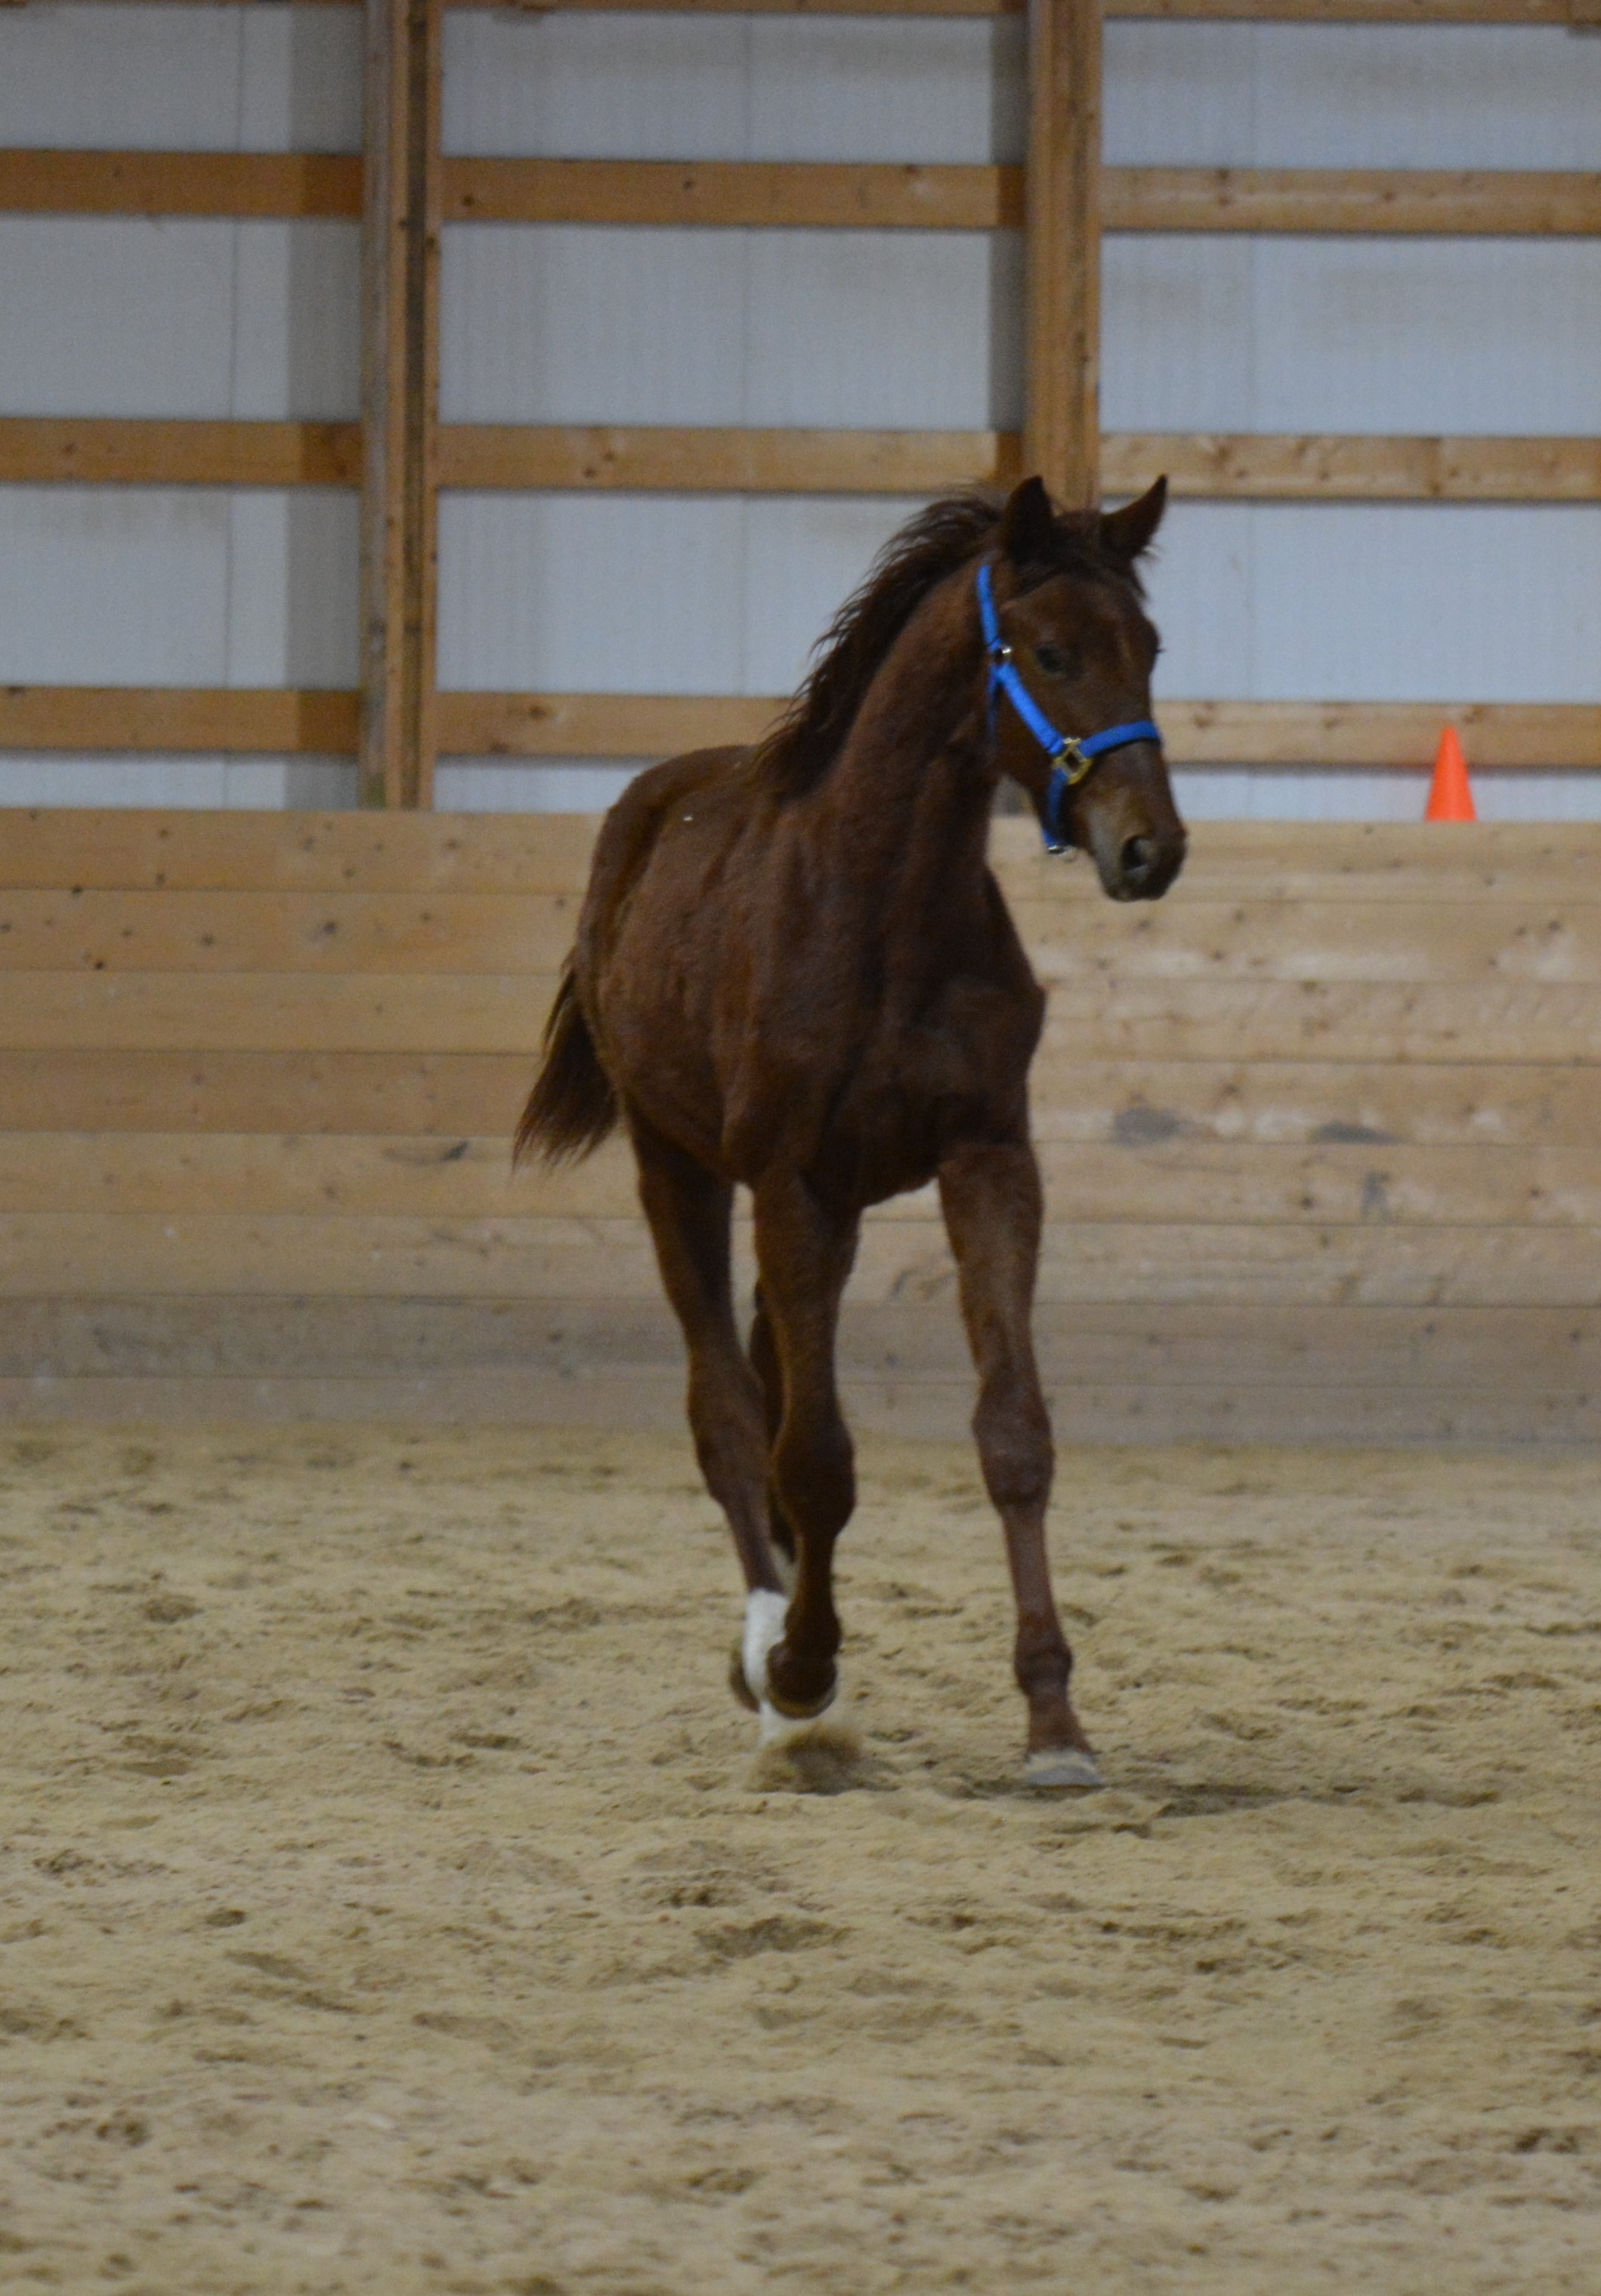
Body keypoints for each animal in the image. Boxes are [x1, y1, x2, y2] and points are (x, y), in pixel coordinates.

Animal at [516, 474, 1187, 1787]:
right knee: (728, 1411)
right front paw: (802, 1674)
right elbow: (815, 1456)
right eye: (1049, 651)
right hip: (678, 1168)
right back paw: (770, 1658)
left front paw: (1053, 1723)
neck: (881, 909)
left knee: (764, 1371)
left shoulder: (986, 1160)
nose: (1150, 848)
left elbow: (1012, 1432)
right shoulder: (790, 1183)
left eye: (1147, 648)